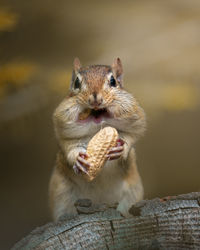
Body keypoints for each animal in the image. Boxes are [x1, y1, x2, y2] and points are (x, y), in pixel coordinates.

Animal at [48, 57, 145, 221]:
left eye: (113, 81)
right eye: (76, 83)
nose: (95, 99)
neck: (97, 130)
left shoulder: (136, 121)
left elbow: (132, 136)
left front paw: (121, 148)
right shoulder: (64, 135)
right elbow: (70, 149)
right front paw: (78, 160)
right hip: (62, 196)